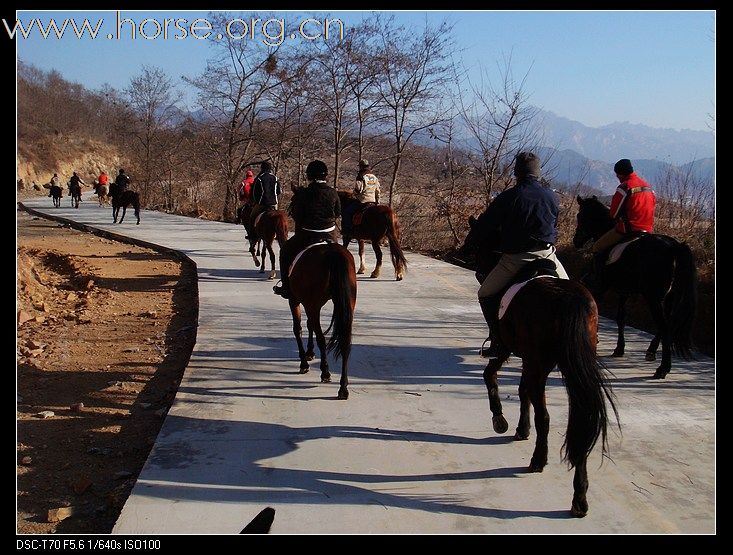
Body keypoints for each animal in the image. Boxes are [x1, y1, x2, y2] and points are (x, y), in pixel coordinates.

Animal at [288, 242, 356, 400]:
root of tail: (332, 251)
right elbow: (309, 325)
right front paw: (309, 352)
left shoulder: (294, 300)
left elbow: (298, 329)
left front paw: (304, 362)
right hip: (348, 302)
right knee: (345, 342)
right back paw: (343, 388)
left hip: (312, 304)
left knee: (321, 338)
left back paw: (325, 372)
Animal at [458, 214, 616, 520]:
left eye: (476, 232)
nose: (461, 251)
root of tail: (570, 299)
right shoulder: (528, 360)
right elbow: (522, 393)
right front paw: (521, 428)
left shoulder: (509, 349)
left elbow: (491, 375)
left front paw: (500, 420)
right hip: (569, 369)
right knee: (580, 420)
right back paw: (579, 498)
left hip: (540, 363)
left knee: (546, 416)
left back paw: (538, 460)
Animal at [572, 193, 696, 380]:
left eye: (580, 216)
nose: (576, 241)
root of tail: (675, 247)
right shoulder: (624, 291)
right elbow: (621, 317)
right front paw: (619, 349)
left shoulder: (602, 286)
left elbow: (597, 306)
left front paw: (597, 337)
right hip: (669, 297)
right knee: (667, 324)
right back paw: (651, 352)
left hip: (653, 298)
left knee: (664, 326)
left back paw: (663, 368)